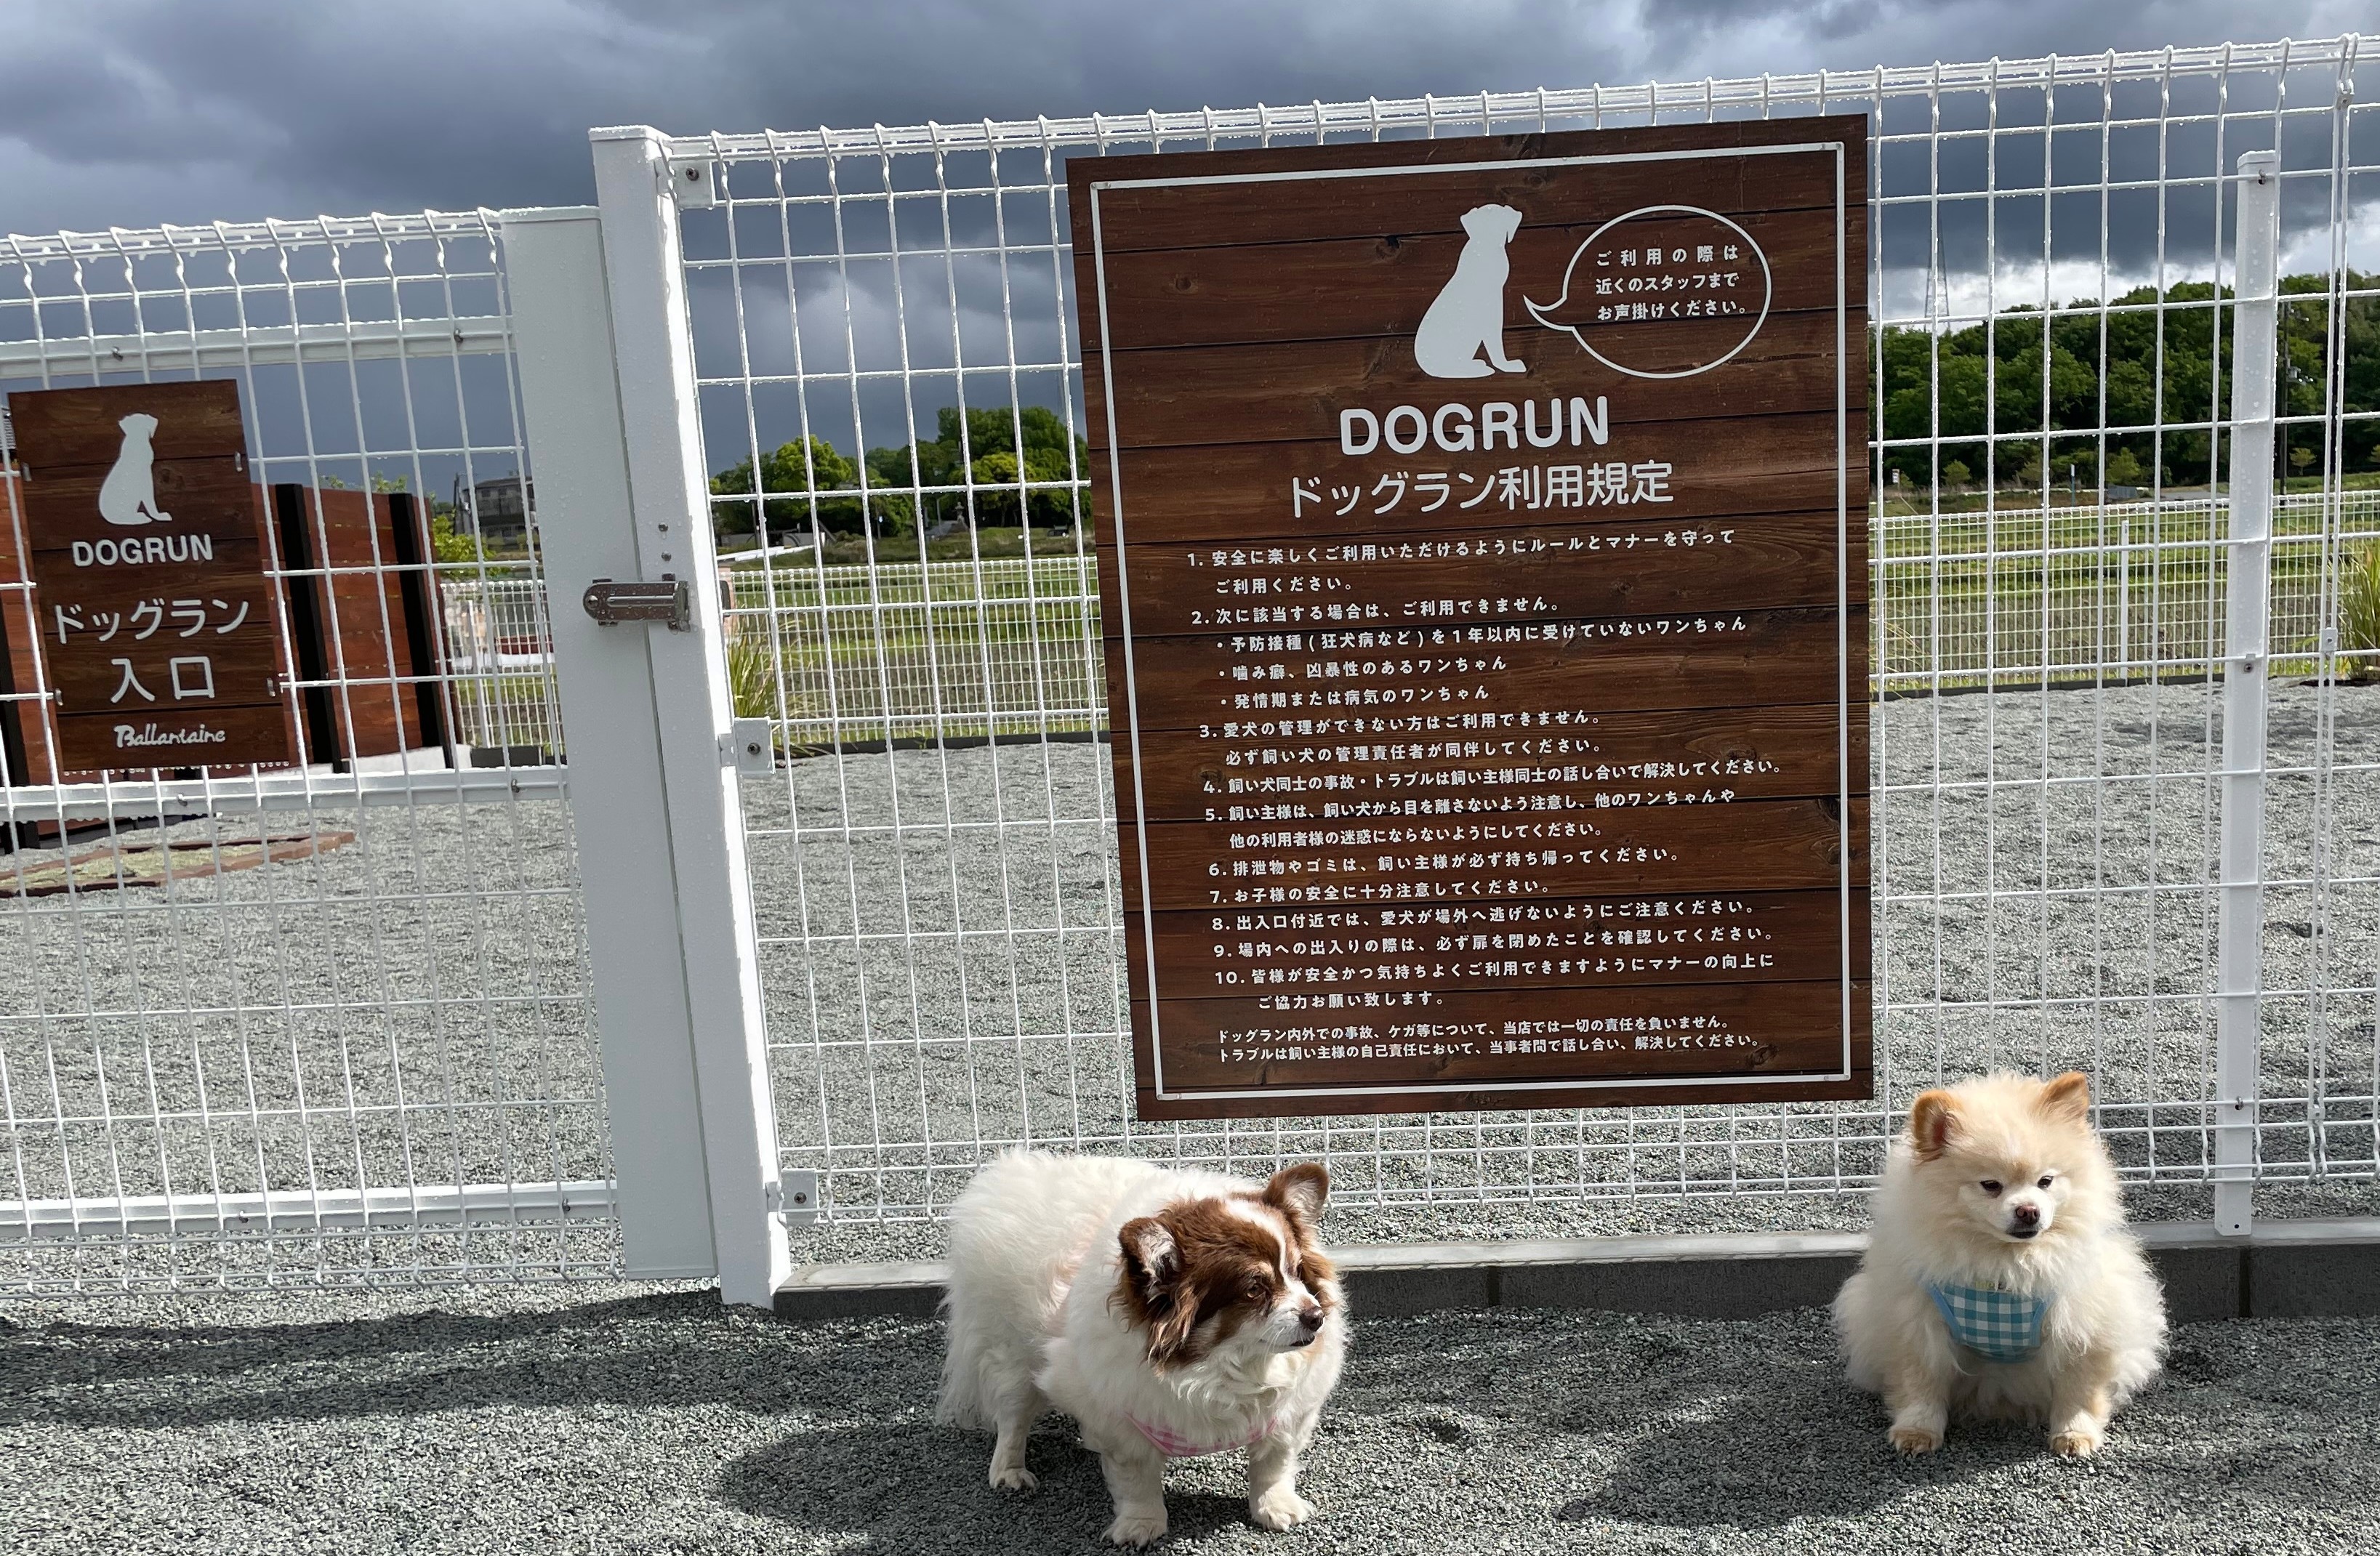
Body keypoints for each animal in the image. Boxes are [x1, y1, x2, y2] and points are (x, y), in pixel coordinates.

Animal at [937, 1151, 1351, 1551]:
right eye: (1254, 1289)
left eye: (1297, 1272)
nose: (1316, 1316)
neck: (1221, 1368)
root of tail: (1010, 1174)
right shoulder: (1126, 1422)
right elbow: (1137, 1481)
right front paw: (1141, 1526)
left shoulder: (1288, 1417)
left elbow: (1272, 1464)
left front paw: (1275, 1508)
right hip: (1013, 1361)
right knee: (1012, 1418)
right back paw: (1010, 1472)